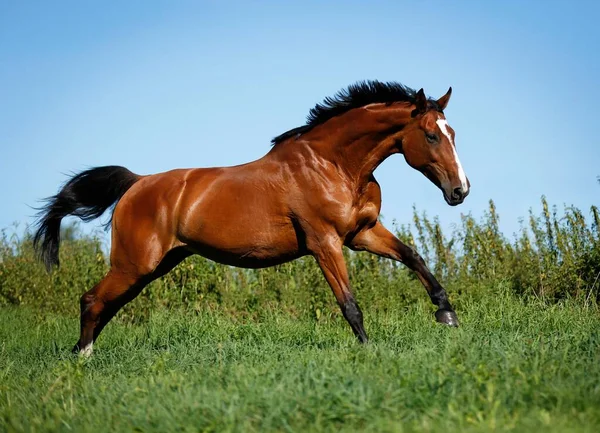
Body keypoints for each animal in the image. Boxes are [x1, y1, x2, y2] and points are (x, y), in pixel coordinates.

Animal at [34, 81, 468, 354]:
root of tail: (136, 183)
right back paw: (82, 358)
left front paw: (446, 314)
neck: (333, 165)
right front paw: (368, 350)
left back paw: (81, 353)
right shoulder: (325, 242)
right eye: (431, 135)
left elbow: (413, 256)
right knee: (92, 300)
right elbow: (348, 303)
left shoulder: (362, 233)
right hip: (134, 264)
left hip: (153, 266)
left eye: (453, 134)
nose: (460, 191)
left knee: (106, 305)